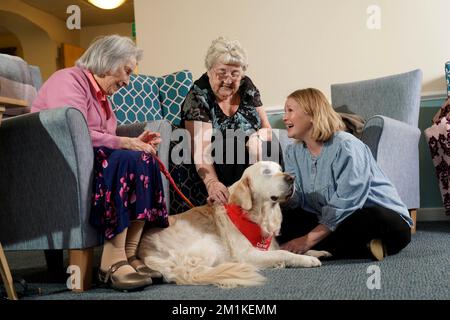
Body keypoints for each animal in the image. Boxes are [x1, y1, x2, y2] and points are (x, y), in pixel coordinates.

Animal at [138, 161, 330, 288]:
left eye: (280, 170)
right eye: (267, 172)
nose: (291, 178)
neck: (257, 216)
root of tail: (145, 252)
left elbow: (287, 249)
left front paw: (316, 251)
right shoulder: (248, 254)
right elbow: (283, 252)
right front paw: (307, 259)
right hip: (210, 244)